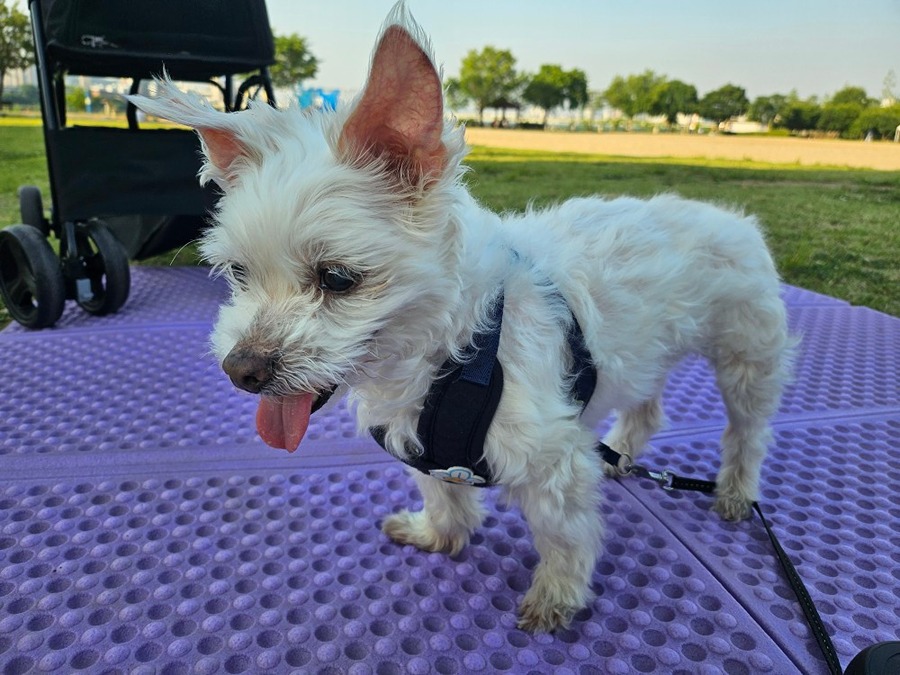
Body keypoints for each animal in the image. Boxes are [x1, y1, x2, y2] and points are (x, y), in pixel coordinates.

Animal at [130, 1, 792, 632]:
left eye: (338, 278)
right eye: (238, 273)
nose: (241, 370)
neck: (454, 350)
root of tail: (727, 214)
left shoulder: (554, 466)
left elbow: (565, 540)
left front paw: (555, 598)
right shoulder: (422, 447)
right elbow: (444, 497)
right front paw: (438, 537)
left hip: (746, 358)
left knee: (747, 433)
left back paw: (736, 491)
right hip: (647, 355)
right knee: (647, 405)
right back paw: (625, 453)